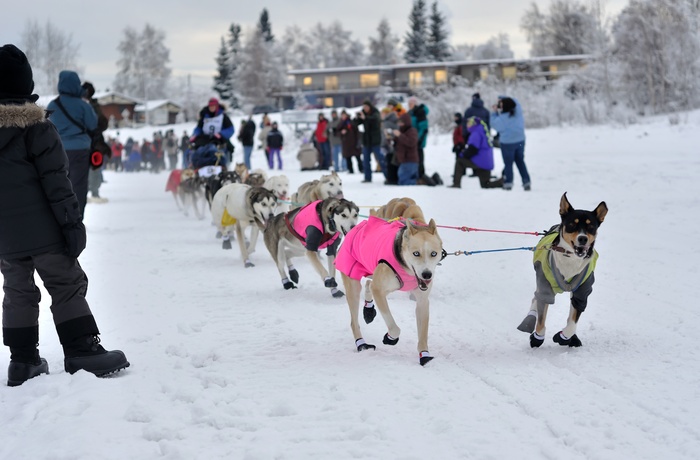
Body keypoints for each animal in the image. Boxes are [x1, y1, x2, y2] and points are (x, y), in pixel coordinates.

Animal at [334, 217, 442, 366]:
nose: (427, 274)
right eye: (416, 253)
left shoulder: (422, 302)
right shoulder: (379, 291)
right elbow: (394, 328)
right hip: (354, 284)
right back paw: (362, 345)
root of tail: (352, 231)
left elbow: (423, 333)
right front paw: (390, 337)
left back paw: (368, 310)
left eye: (433, 253)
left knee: (369, 284)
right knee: (354, 321)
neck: (406, 268)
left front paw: (424, 355)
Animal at [516, 192, 608, 346]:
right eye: (572, 224)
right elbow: (541, 317)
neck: (570, 257)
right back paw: (529, 319)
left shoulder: (582, 291)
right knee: (535, 298)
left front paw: (564, 336)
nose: (582, 238)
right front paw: (537, 337)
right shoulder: (545, 285)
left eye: (591, 226)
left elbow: (572, 322)